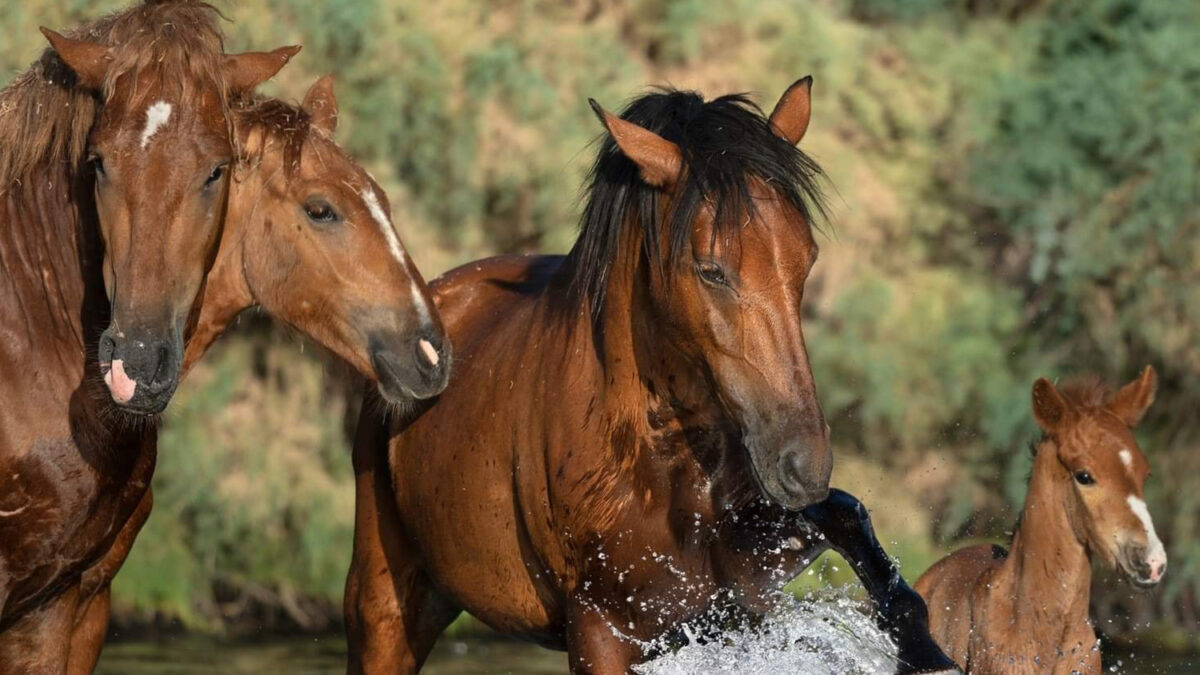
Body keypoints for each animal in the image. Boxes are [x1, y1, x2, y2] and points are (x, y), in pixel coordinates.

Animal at [345, 79, 955, 672]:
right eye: (710, 270)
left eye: (806, 258)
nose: (804, 465)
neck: (658, 466)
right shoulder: (600, 631)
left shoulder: (741, 595)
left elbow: (847, 514)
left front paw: (926, 649)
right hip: (388, 609)